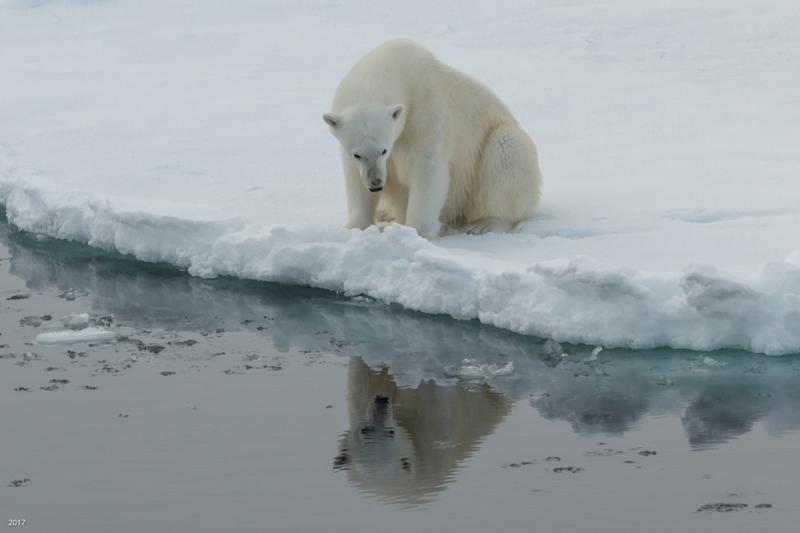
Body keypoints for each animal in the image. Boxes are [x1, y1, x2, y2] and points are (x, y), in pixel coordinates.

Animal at [324, 41, 544, 239]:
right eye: (357, 154)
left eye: (384, 150)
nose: (376, 184)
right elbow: (354, 177)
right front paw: (353, 227)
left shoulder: (425, 107)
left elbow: (427, 166)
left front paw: (416, 230)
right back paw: (384, 213)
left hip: (491, 154)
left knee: (507, 154)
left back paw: (484, 224)